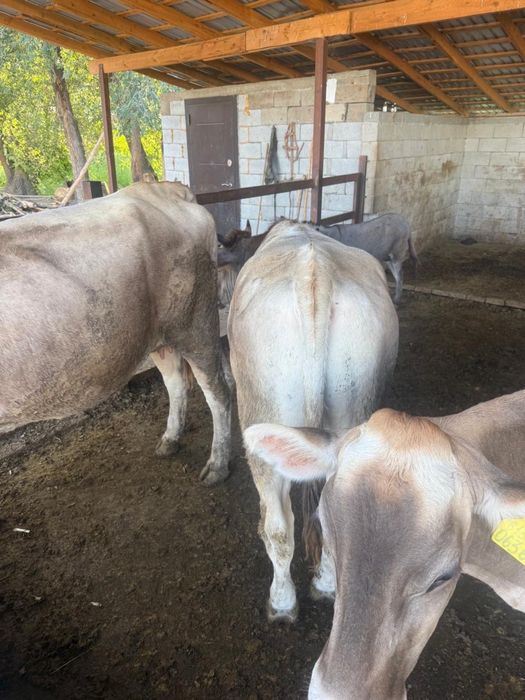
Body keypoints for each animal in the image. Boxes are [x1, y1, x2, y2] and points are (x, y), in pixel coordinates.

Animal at [0, 181, 231, 485]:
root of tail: (161, 189)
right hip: (160, 337)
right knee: (176, 383)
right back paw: (170, 440)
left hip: (197, 324)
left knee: (218, 392)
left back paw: (218, 465)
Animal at [228, 219, 398, 620]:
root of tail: (314, 275)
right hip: (353, 408)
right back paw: (326, 585)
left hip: (260, 419)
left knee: (277, 525)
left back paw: (282, 601)